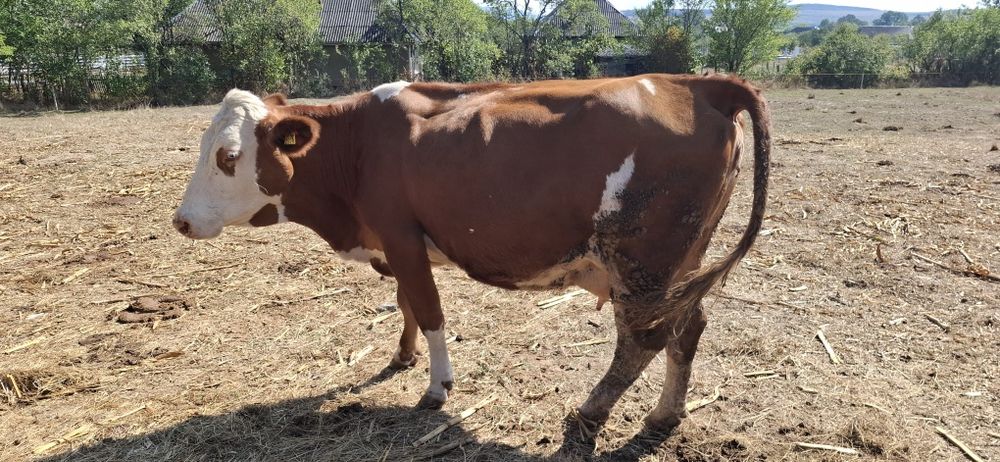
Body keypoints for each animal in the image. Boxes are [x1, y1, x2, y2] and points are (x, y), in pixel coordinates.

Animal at [172, 74, 770, 436]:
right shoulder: (399, 245)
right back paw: (666, 415)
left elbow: (430, 311)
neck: (358, 146)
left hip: (641, 263)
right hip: (681, 265)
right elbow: (407, 305)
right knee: (687, 329)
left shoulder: (402, 238)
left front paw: (437, 386)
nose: (181, 220)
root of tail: (700, 83)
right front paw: (403, 356)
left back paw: (593, 408)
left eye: (228, 157)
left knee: (641, 341)